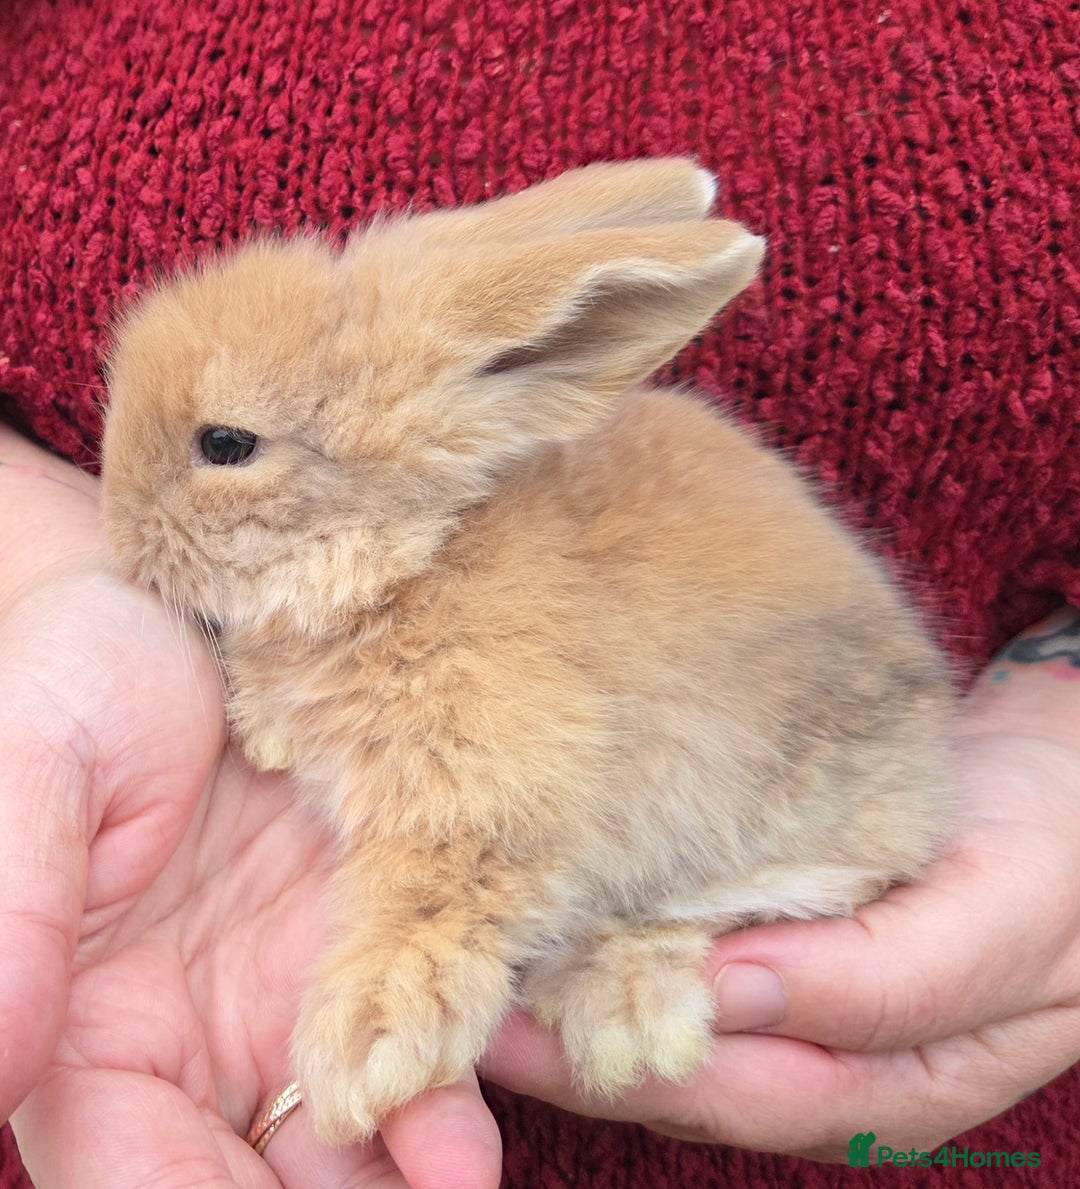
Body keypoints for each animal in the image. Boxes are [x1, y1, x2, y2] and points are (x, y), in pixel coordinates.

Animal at [101, 157, 956, 1144]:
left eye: (226, 443)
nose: (117, 537)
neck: (420, 555)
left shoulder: (486, 803)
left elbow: (429, 914)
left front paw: (366, 1057)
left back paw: (625, 1013)